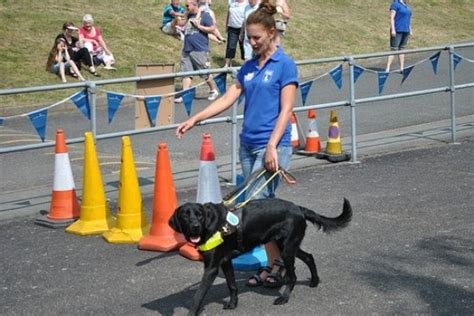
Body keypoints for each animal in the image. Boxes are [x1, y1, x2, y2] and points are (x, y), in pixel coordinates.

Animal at [169, 198, 352, 314]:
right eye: (185, 215)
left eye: (199, 215)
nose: (195, 226)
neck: (210, 224)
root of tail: (298, 208)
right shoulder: (225, 262)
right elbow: (232, 285)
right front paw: (233, 304)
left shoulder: (211, 268)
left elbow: (198, 295)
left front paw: (192, 312)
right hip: (286, 245)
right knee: (309, 257)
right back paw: (314, 281)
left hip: (287, 249)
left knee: (293, 276)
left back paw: (284, 298)